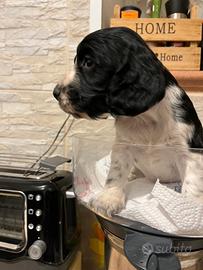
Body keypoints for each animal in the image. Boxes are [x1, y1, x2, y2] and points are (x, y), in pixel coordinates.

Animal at [53, 27, 203, 216]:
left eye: (88, 63)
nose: (55, 93)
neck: (146, 118)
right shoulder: (123, 146)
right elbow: (116, 172)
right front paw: (109, 198)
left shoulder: (188, 152)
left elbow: (192, 184)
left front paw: (193, 208)